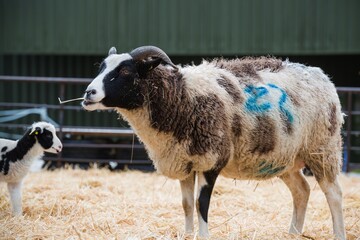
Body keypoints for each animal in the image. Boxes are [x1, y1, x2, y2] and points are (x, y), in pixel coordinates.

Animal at [81, 46, 346, 239]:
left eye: (125, 72)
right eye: (102, 67)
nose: (88, 93)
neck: (182, 96)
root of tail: (322, 76)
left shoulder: (211, 160)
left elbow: (201, 204)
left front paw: (203, 235)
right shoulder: (184, 161)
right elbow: (187, 204)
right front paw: (187, 235)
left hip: (323, 148)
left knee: (333, 194)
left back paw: (338, 234)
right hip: (285, 158)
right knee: (302, 190)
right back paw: (293, 234)